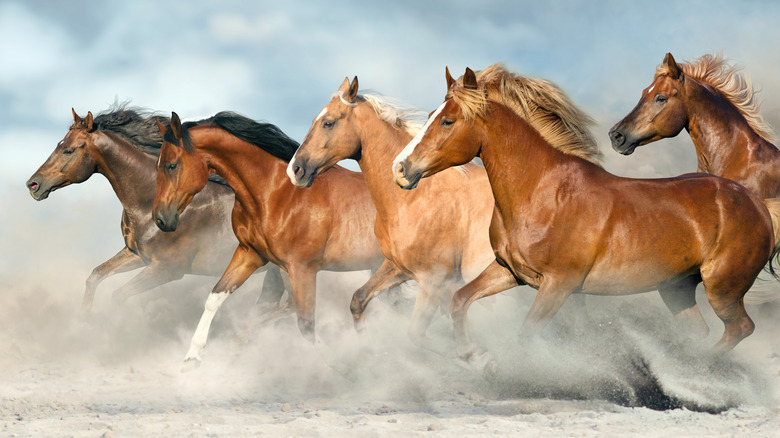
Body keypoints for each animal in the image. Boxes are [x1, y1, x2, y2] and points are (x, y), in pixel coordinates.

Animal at [27, 105, 290, 312]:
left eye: (68, 150)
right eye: (59, 144)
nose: (33, 184)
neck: (147, 205)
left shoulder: (166, 270)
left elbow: (117, 296)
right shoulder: (137, 255)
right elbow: (95, 276)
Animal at [152, 110, 384, 370]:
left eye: (172, 165)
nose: (161, 219)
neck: (277, 194)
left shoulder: (302, 268)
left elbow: (305, 323)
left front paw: (343, 366)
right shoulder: (251, 254)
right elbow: (216, 297)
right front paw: (192, 357)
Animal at [394, 66, 780, 374]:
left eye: (448, 120)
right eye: (431, 115)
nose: (400, 168)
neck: (541, 191)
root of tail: (759, 205)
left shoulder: (559, 284)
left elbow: (526, 334)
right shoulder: (511, 272)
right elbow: (459, 300)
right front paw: (476, 357)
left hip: (722, 290)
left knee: (739, 329)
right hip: (676, 289)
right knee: (700, 333)